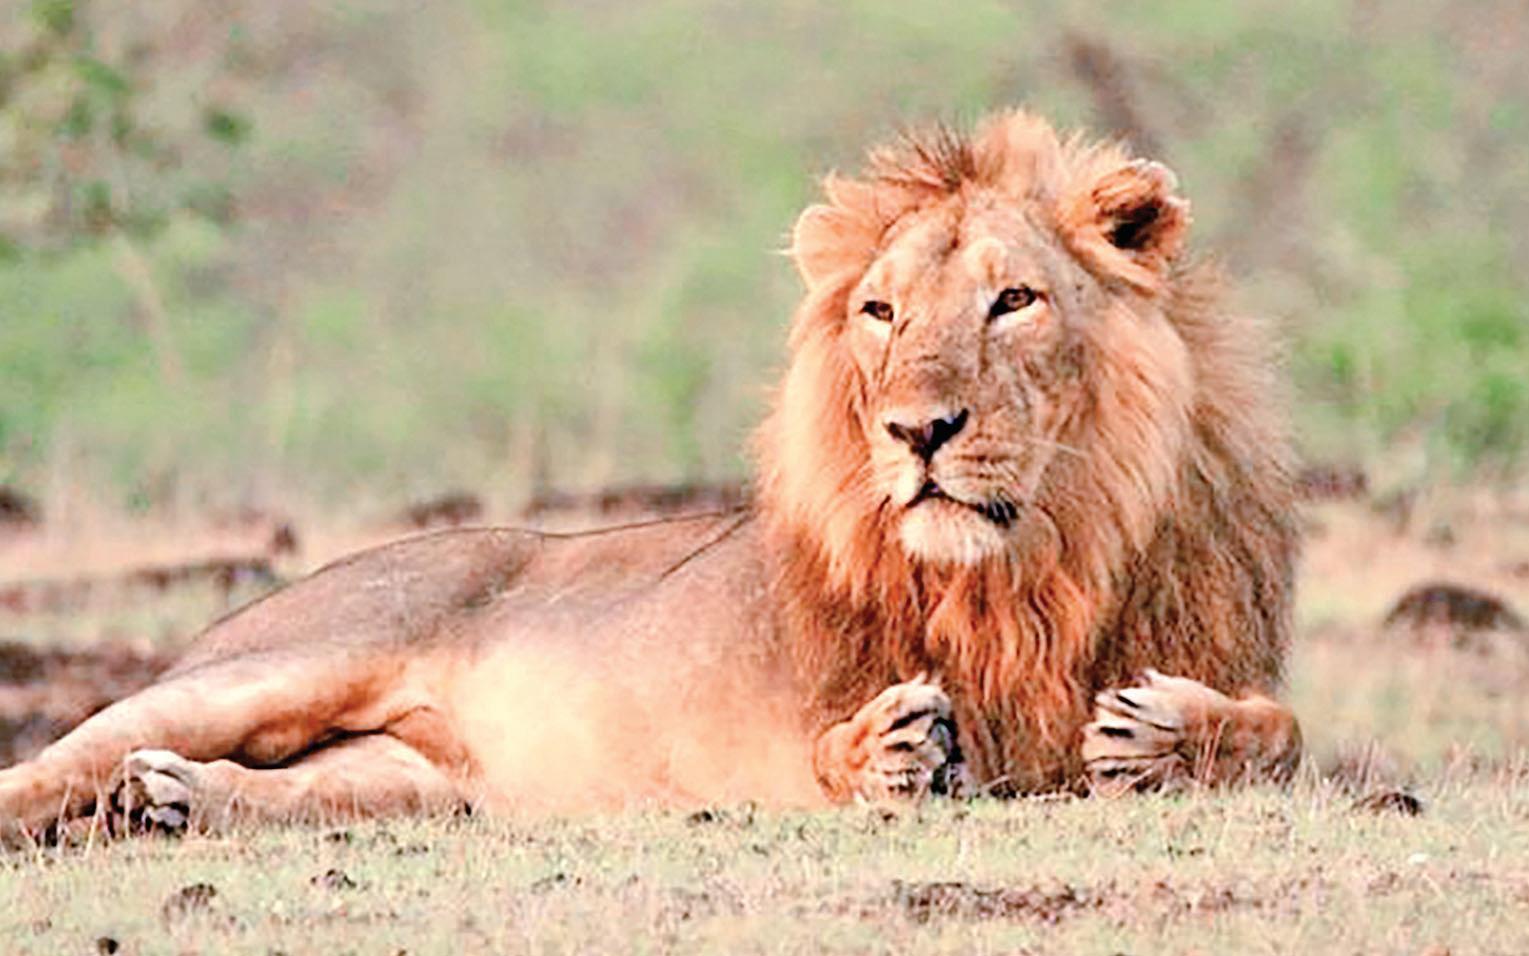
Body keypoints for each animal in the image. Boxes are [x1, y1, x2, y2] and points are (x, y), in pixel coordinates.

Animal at [0, 110, 1301, 840]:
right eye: (879, 311)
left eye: (1013, 299)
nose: (915, 430)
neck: (1028, 574)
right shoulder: (762, 741)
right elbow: (827, 750)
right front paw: (887, 749)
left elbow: (1279, 733)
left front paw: (1165, 732)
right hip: (270, 666)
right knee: (47, 763)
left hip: (422, 779)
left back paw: (171, 801)